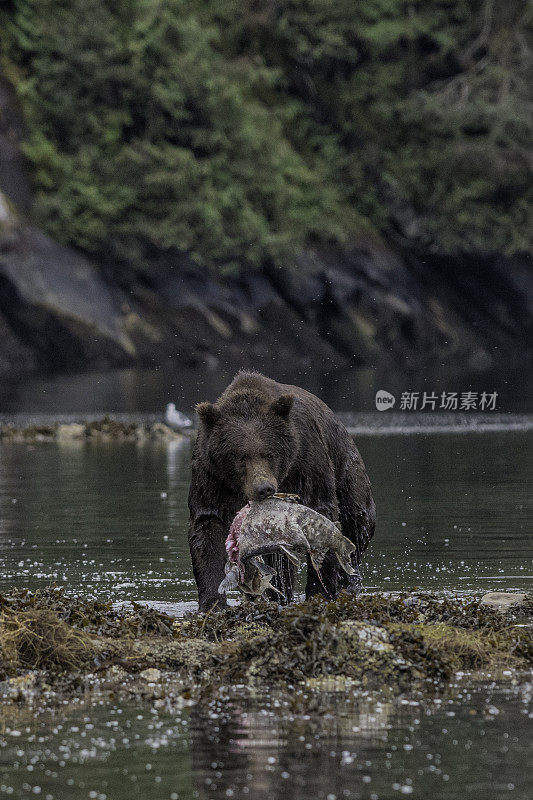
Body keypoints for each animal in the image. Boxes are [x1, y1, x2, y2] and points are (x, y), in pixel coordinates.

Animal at [187, 372, 374, 608]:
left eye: (269, 453)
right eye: (240, 457)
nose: (264, 488)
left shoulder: (305, 459)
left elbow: (321, 508)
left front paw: (319, 592)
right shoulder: (211, 476)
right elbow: (208, 526)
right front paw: (213, 602)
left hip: (347, 469)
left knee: (358, 521)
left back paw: (347, 581)